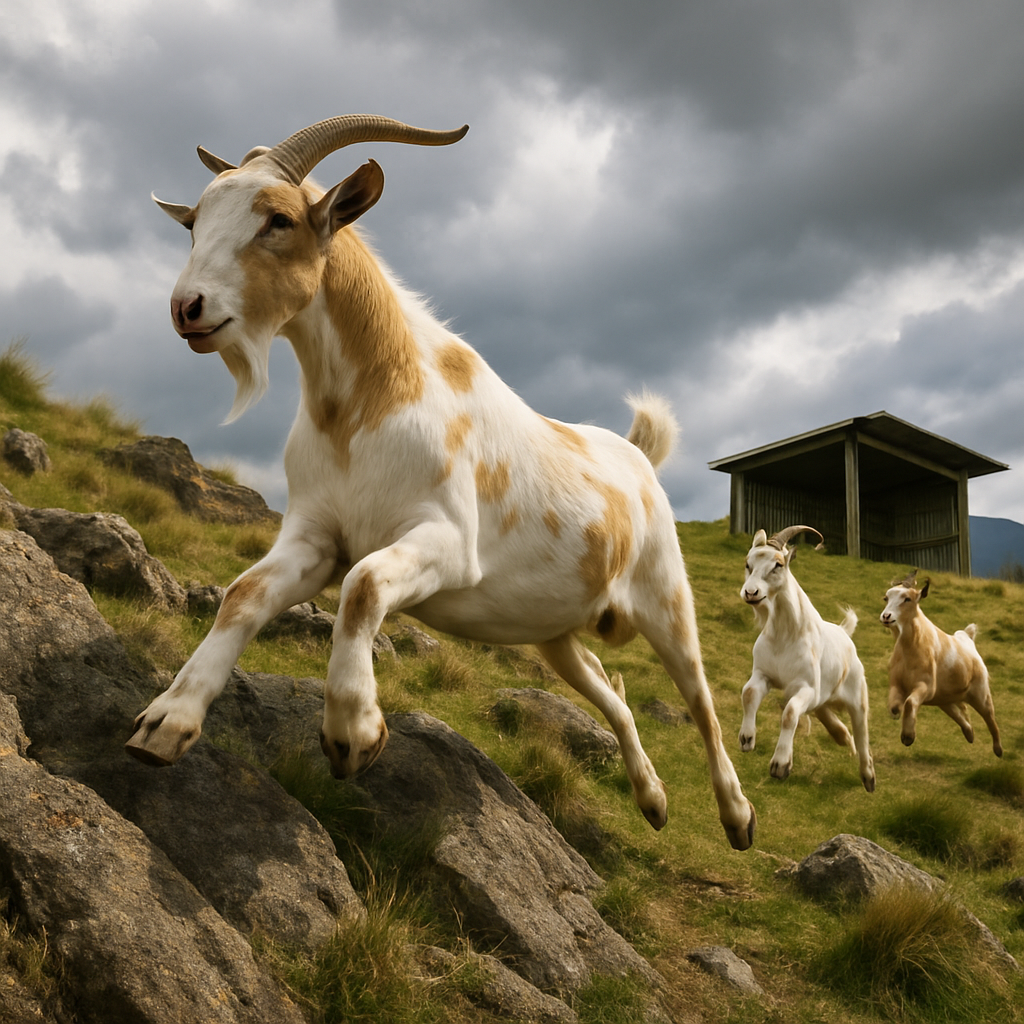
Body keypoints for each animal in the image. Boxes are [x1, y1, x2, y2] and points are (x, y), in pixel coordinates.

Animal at [127, 114, 756, 850]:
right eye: (194, 222)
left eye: (277, 219)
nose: (188, 308)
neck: (367, 404)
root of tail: (638, 458)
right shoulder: (315, 534)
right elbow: (246, 594)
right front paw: (164, 722)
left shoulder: (450, 543)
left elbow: (363, 584)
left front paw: (354, 734)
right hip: (554, 629)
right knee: (608, 689)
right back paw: (653, 801)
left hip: (666, 597)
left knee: (702, 703)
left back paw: (737, 816)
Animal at [738, 526, 875, 791]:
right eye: (748, 564)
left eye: (778, 564)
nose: (750, 592)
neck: (785, 635)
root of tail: (844, 631)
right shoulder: (763, 674)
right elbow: (748, 694)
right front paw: (747, 738)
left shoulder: (806, 687)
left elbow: (790, 713)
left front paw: (780, 765)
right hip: (823, 696)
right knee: (828, 715)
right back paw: (843, 736)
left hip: (857, 695)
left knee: (862, 732)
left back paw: (868, 776)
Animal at [881, 572, 1002, 756]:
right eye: (886, 598)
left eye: (907, 599)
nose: (886, 616)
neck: (912, 647)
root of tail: (967, 637)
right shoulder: (897, 683)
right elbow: (894, 706)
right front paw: (899, 718)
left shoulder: (925, 685)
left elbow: (909, 703)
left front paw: (908, 737)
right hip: (943, 697)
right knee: (957, 711)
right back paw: (970, 734)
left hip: (980, 694)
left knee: (990, 718)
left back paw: (998, 749)